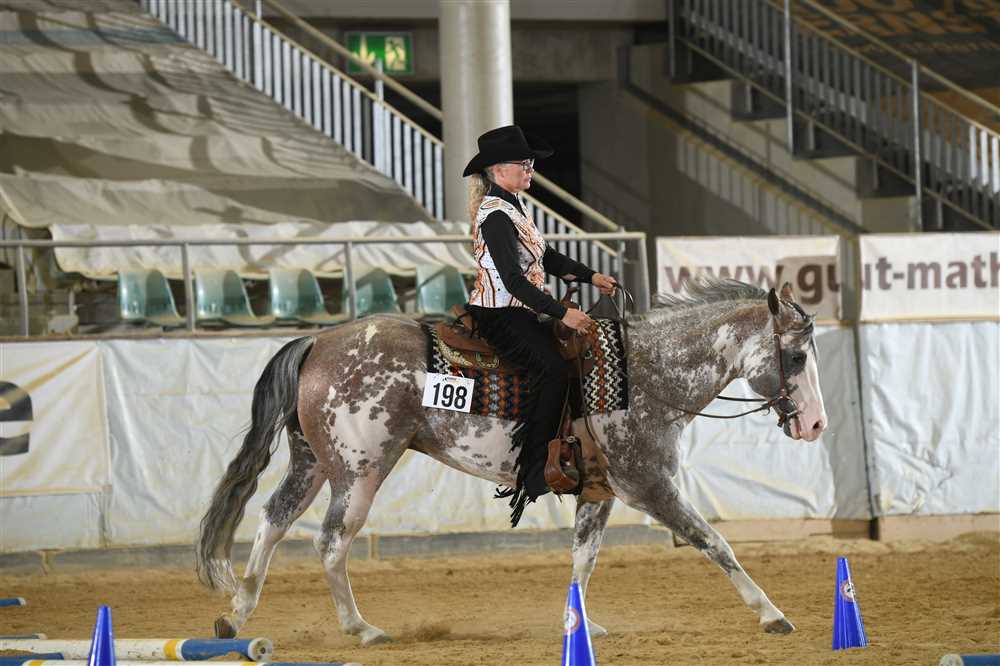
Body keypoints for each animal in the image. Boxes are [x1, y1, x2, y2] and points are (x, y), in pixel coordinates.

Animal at [195, 277, 827, 645]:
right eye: (795, 357)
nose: (816, 425)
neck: (642, 375)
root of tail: (318, 341)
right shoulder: (650, 485)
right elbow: (715, 543)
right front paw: (772, 614)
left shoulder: (598, 491)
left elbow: (583, 559)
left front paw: (580, 625)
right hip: (360, 471)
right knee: (330, 541)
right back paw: (360, 628)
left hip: (313, 463)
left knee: (272, 521)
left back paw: (236, 615)